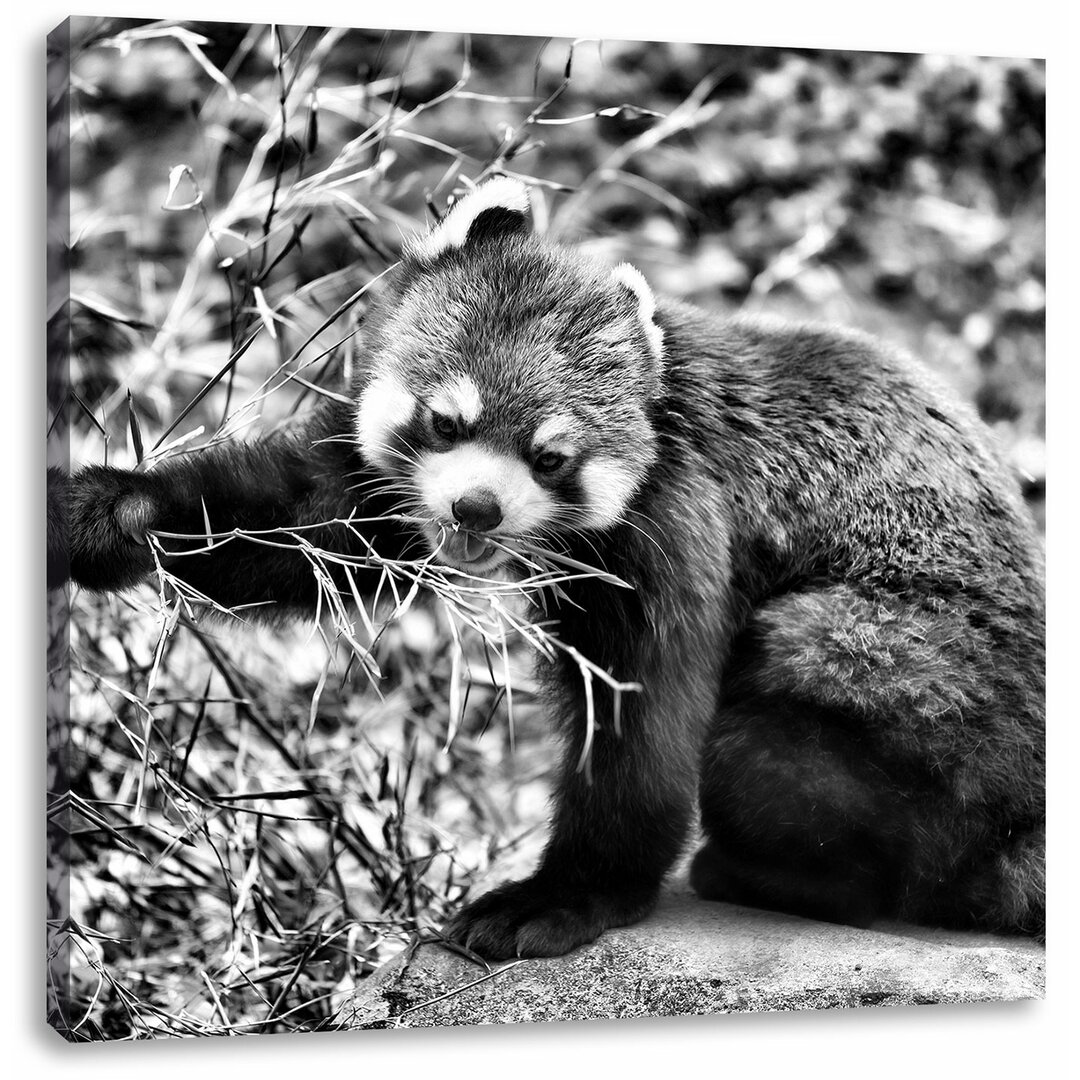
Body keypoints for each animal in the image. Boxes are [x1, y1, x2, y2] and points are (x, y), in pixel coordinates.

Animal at [52, 179, 1045, 963]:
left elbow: (643, 720)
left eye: (550, 457)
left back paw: (768, 872)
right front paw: (115, 513)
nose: (476, 509)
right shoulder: (377, 492)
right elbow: (310, 524)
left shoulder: (677, 521)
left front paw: (563, 897)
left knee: (774, 715)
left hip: (887, 681)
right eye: (447, 423)